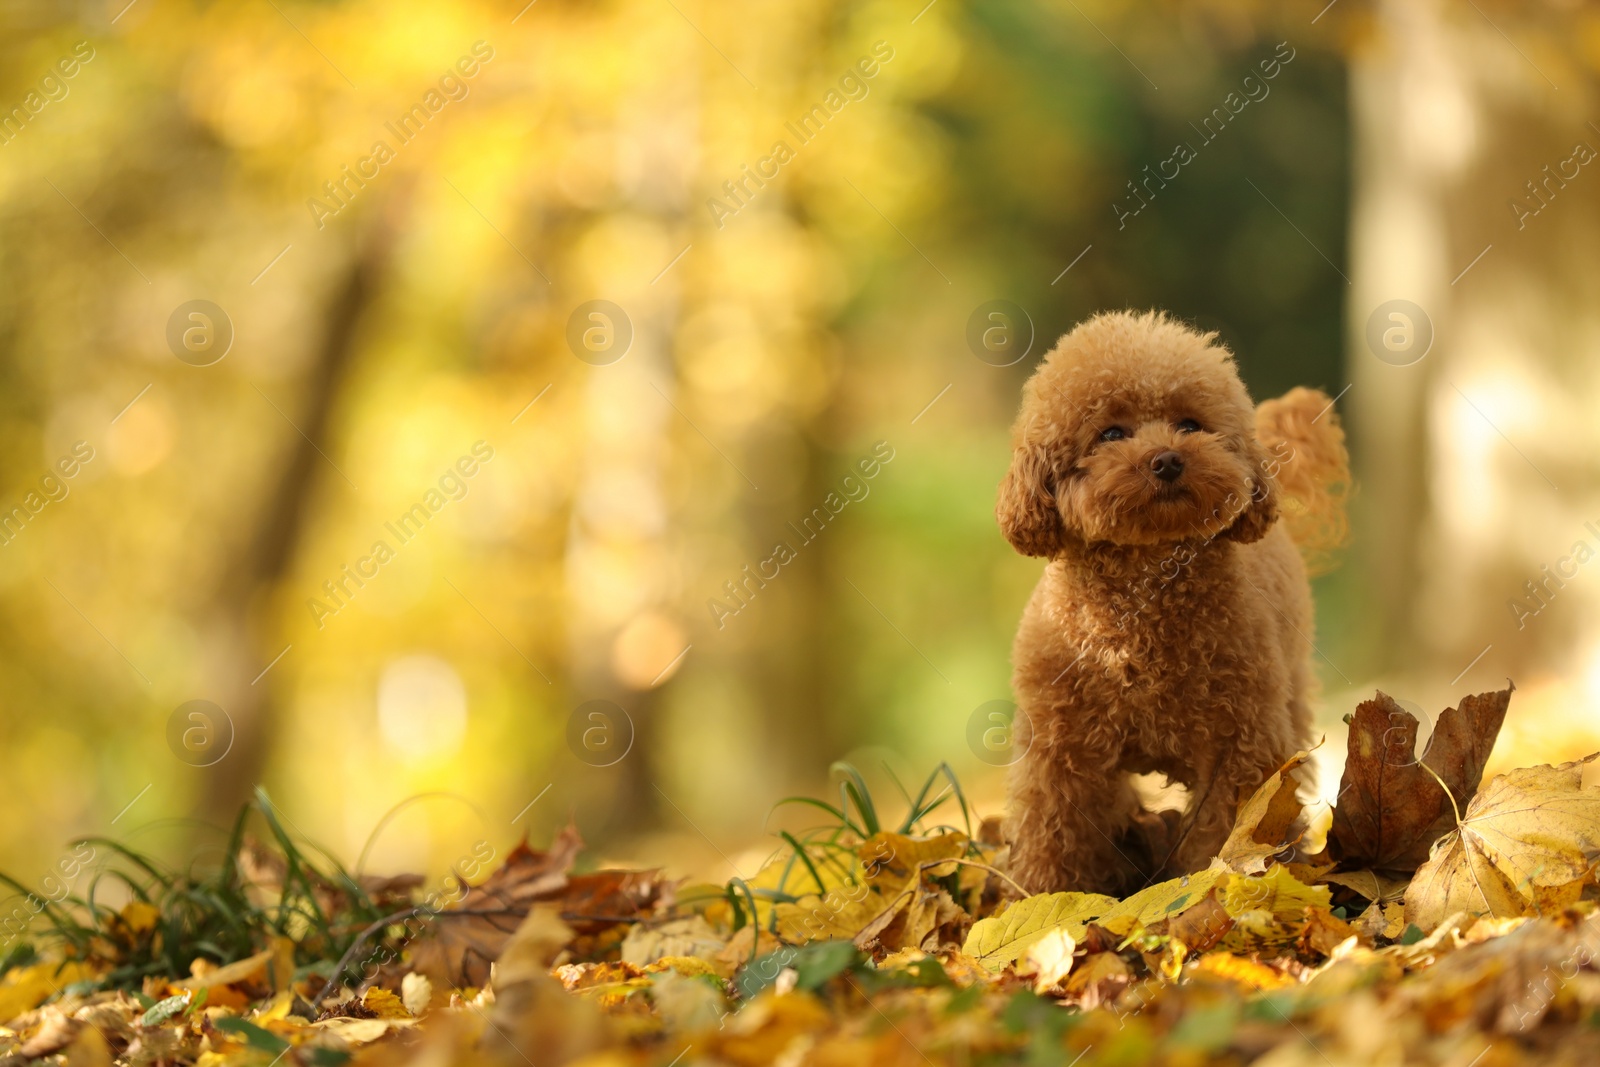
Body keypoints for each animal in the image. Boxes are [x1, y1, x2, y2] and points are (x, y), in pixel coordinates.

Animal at [998, 310, 1350, 902]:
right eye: (1110, 433)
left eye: (1190, 423)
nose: (1167, 460)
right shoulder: (1060, 749)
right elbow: (1056, 829)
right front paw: (1047, 898)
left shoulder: (1241, 743)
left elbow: (1230, 827)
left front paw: (1213, 889)